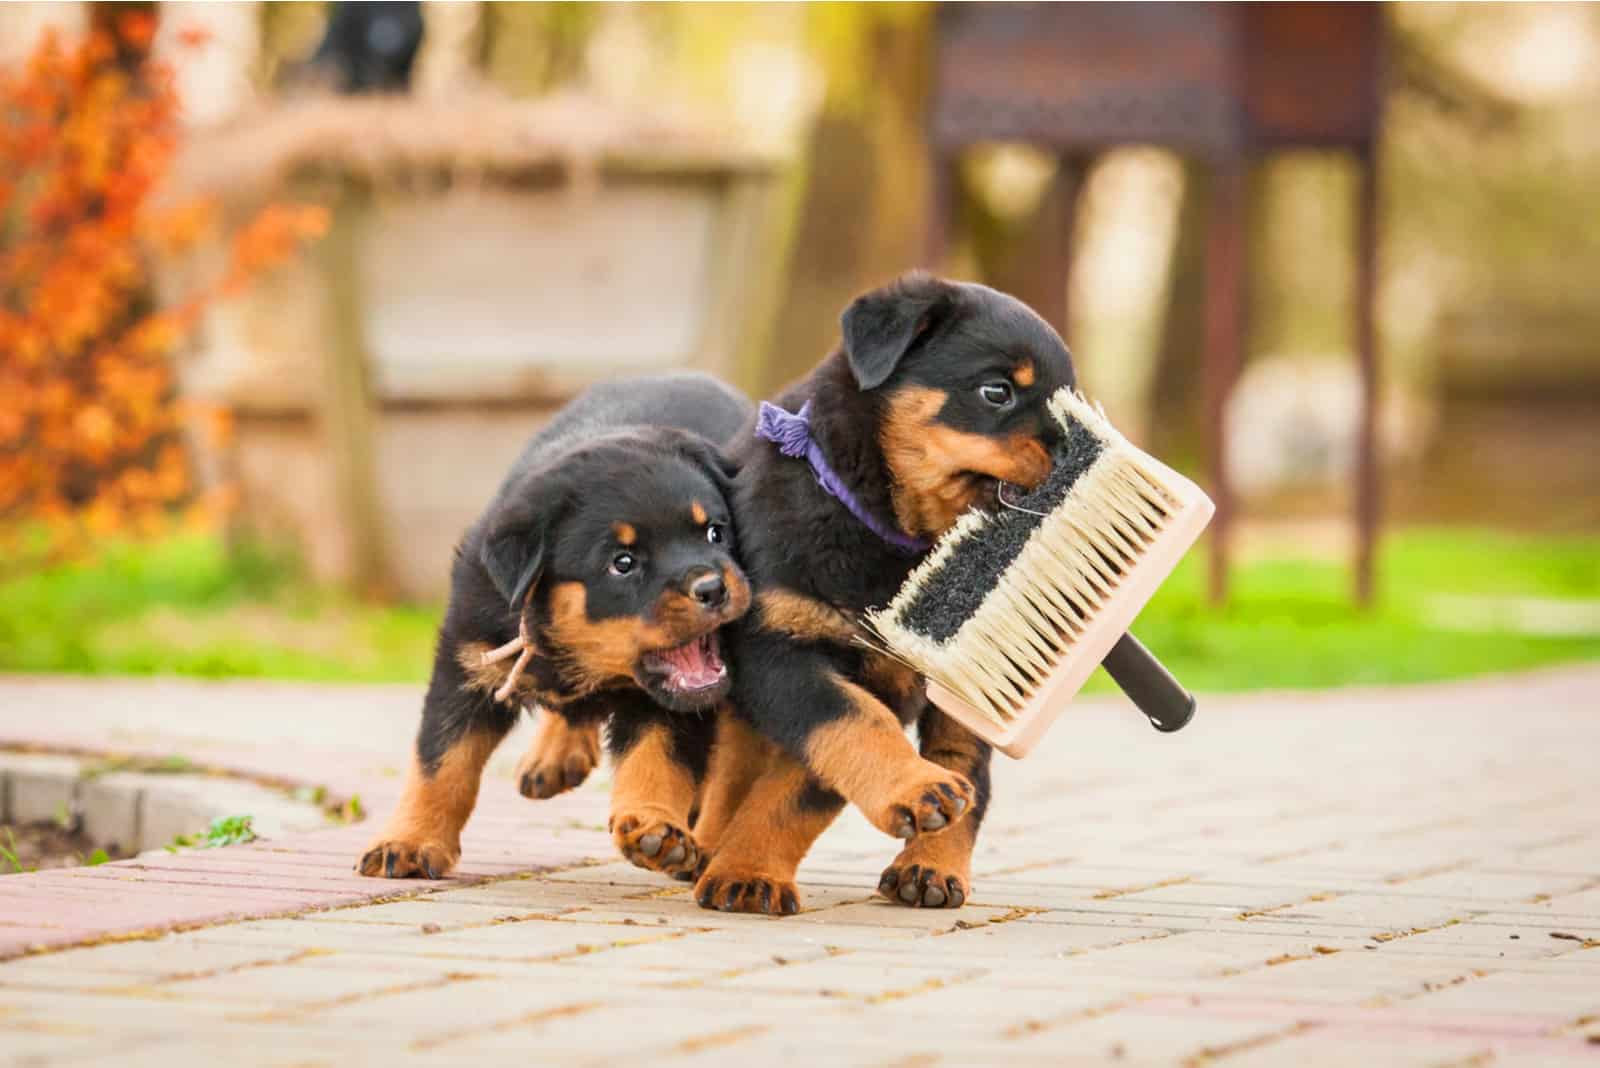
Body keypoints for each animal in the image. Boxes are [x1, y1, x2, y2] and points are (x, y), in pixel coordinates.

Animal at [356, 370, 748, 882]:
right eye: (623, 563)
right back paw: (554, 755)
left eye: (715, 532)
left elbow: (658, 758)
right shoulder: (467, 662)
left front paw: (654, 827)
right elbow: (441, 762)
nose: (713, 588)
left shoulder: (677, 701)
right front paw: (408, 841)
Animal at [691, 271, 1075, 914]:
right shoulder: (779, 649)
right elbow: (848, 725)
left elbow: (802, 783)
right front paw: (745, 871)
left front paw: (748, 869)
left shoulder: (901, 676)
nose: (1078, 452)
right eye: (996, 392)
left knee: (967, 763)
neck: (889, 534)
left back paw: (933, 864)